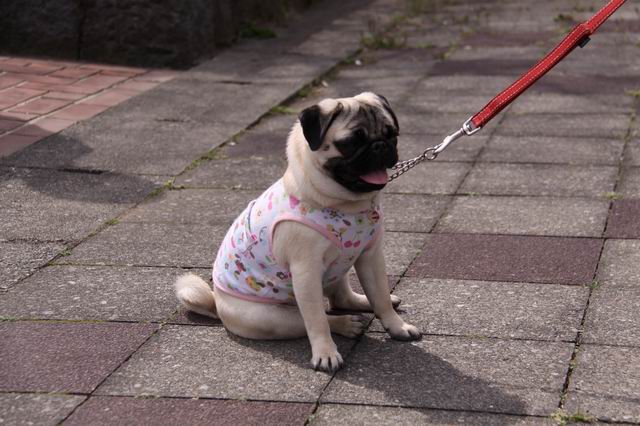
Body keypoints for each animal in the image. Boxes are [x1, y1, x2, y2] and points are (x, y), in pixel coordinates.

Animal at [175, 92, 421, 372]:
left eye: (392, 134)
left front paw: (397, 326)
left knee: (341, 297)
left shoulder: (371, 257)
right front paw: (326, 354)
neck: (344, 204)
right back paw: (346, 324)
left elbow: (380, 295)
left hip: (339, 270)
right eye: (350, 142)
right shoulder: (306, 272)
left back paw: (363, 304)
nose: (380, 146)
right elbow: (317, 321)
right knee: (313, 319)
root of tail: (216, 303)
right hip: (271, 317)